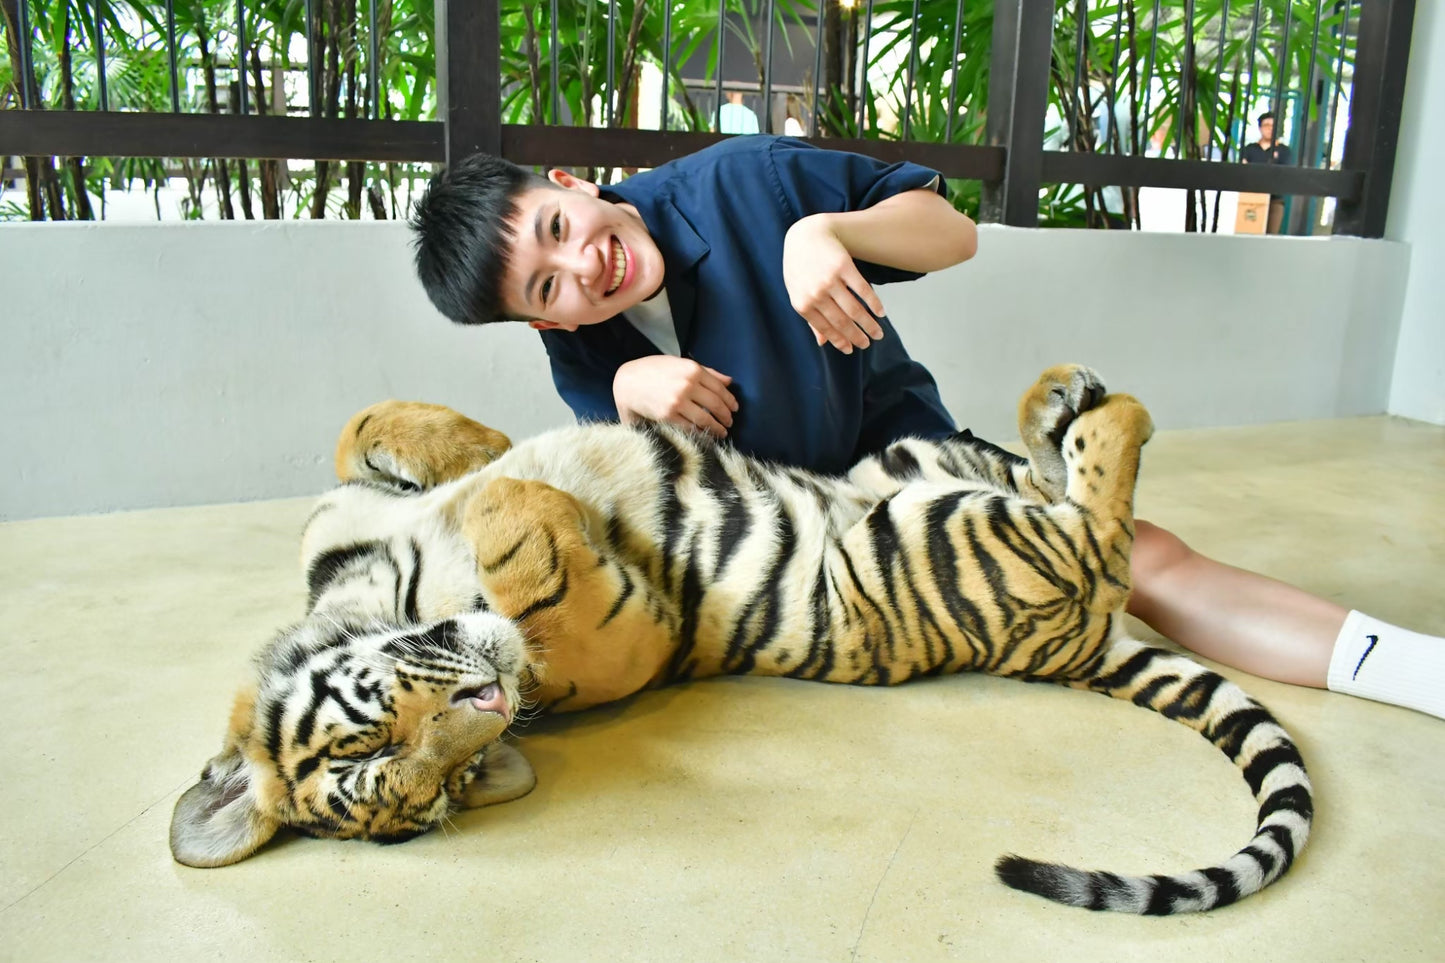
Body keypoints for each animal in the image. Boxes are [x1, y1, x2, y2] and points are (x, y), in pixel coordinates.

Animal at [169, 363, 1313, 915]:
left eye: (380, 745)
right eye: (414, 772)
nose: (491, 708)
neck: (370, 594)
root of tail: (1078, 649)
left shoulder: (350, 518)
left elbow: (375, 436)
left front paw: (487, 448)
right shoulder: (628, 631)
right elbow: (523, 545)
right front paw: (533, 488)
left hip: (909, 461)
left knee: (1043, 470)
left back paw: (1063, 392)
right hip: (937, 533)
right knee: (1097, 532)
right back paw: (1112, 414)